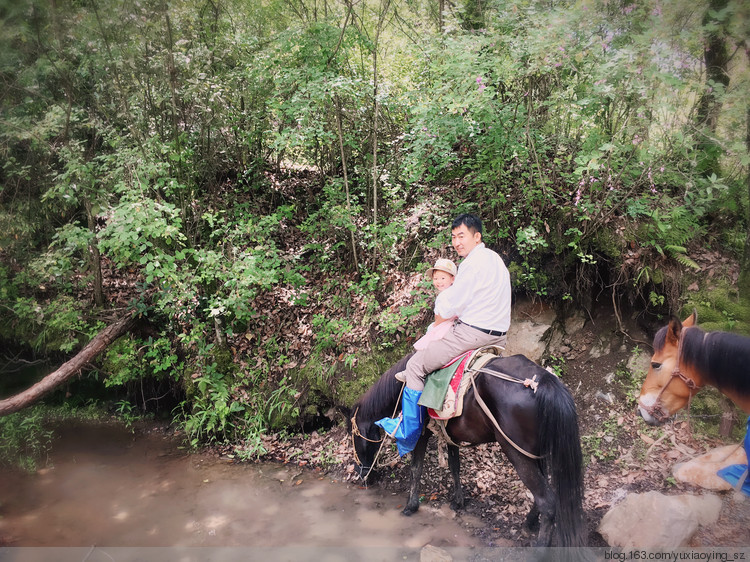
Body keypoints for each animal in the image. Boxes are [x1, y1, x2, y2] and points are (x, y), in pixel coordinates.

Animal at [346, 352, 588, 544]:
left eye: (353, 437)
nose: (363, 475)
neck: (403, 382)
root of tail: (543, 382)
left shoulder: (421, 433)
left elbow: (416, 467)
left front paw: (410, 506)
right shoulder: (450, 434)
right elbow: (455, 465)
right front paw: (458, 501)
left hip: (518, 453)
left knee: (547, 501)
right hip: (535, 453)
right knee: (544, 493)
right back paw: (529, 524)